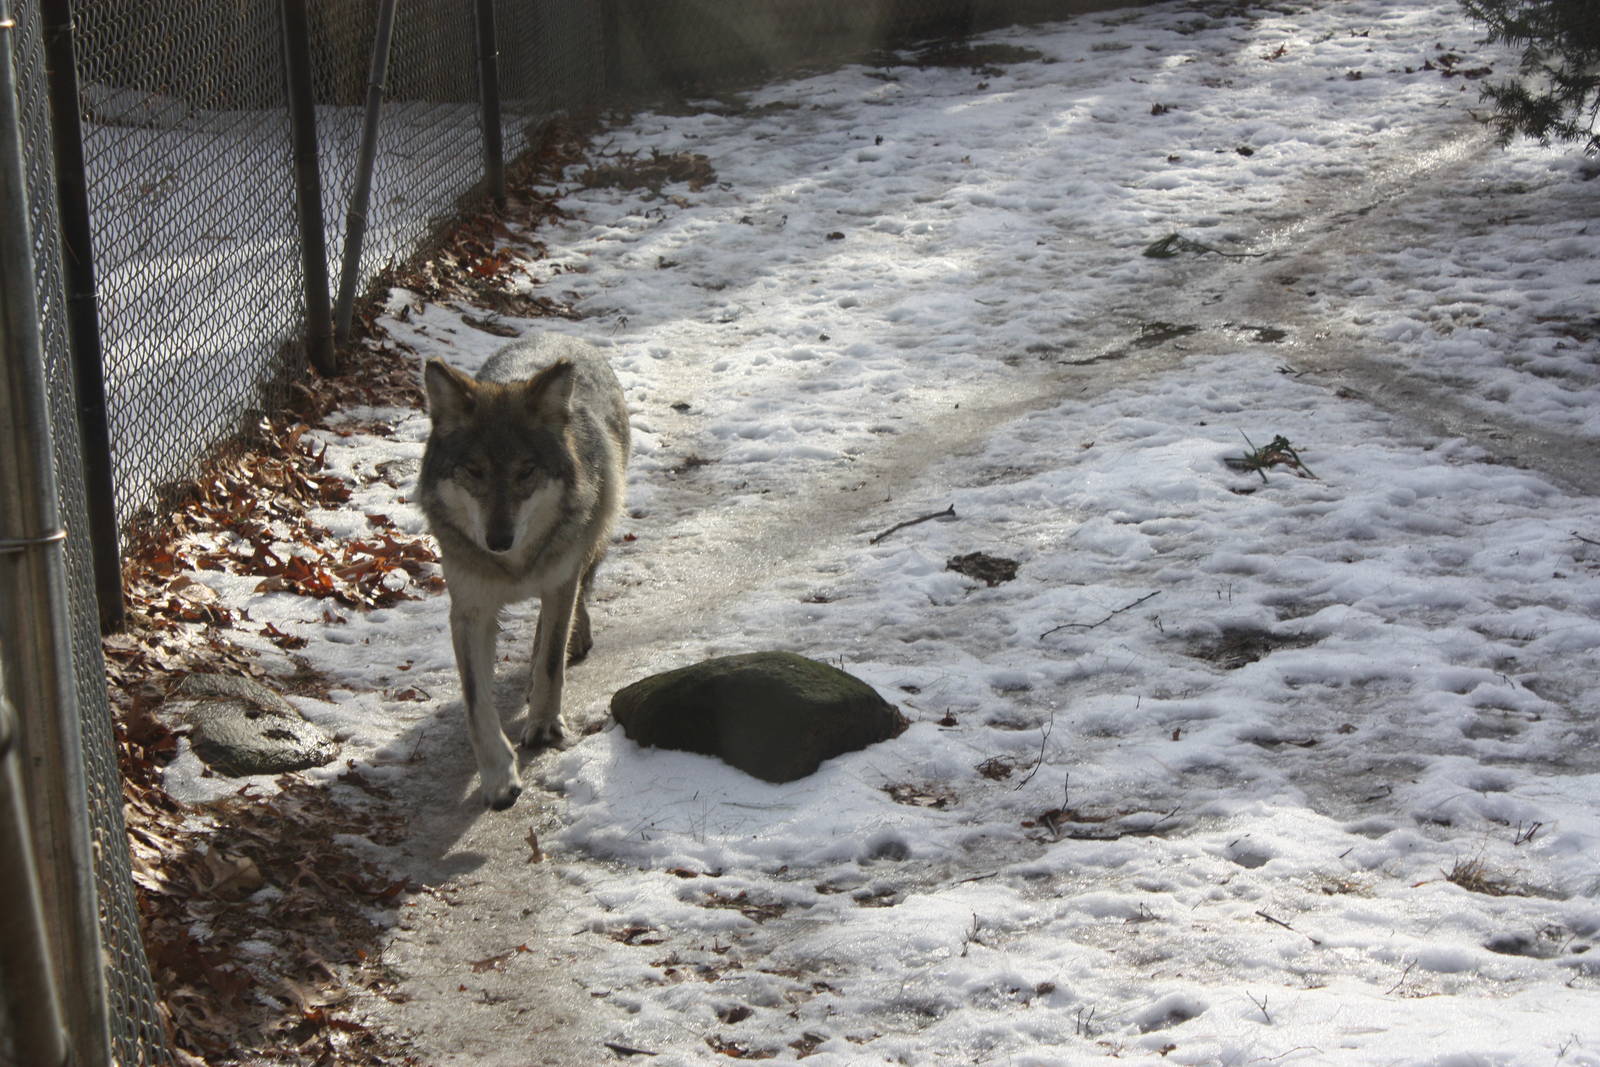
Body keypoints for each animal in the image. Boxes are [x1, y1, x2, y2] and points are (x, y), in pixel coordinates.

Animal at [418, 333, 630, 810]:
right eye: (474, 470)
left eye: (526, 471)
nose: (499, 539)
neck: (512, 568)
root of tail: (561, 336)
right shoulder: (470, 610)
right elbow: (477, 703)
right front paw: (499, 778)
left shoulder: (559, 583)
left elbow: (551, 661)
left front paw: (545, 725)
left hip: (593, 534)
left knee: (571, 607)